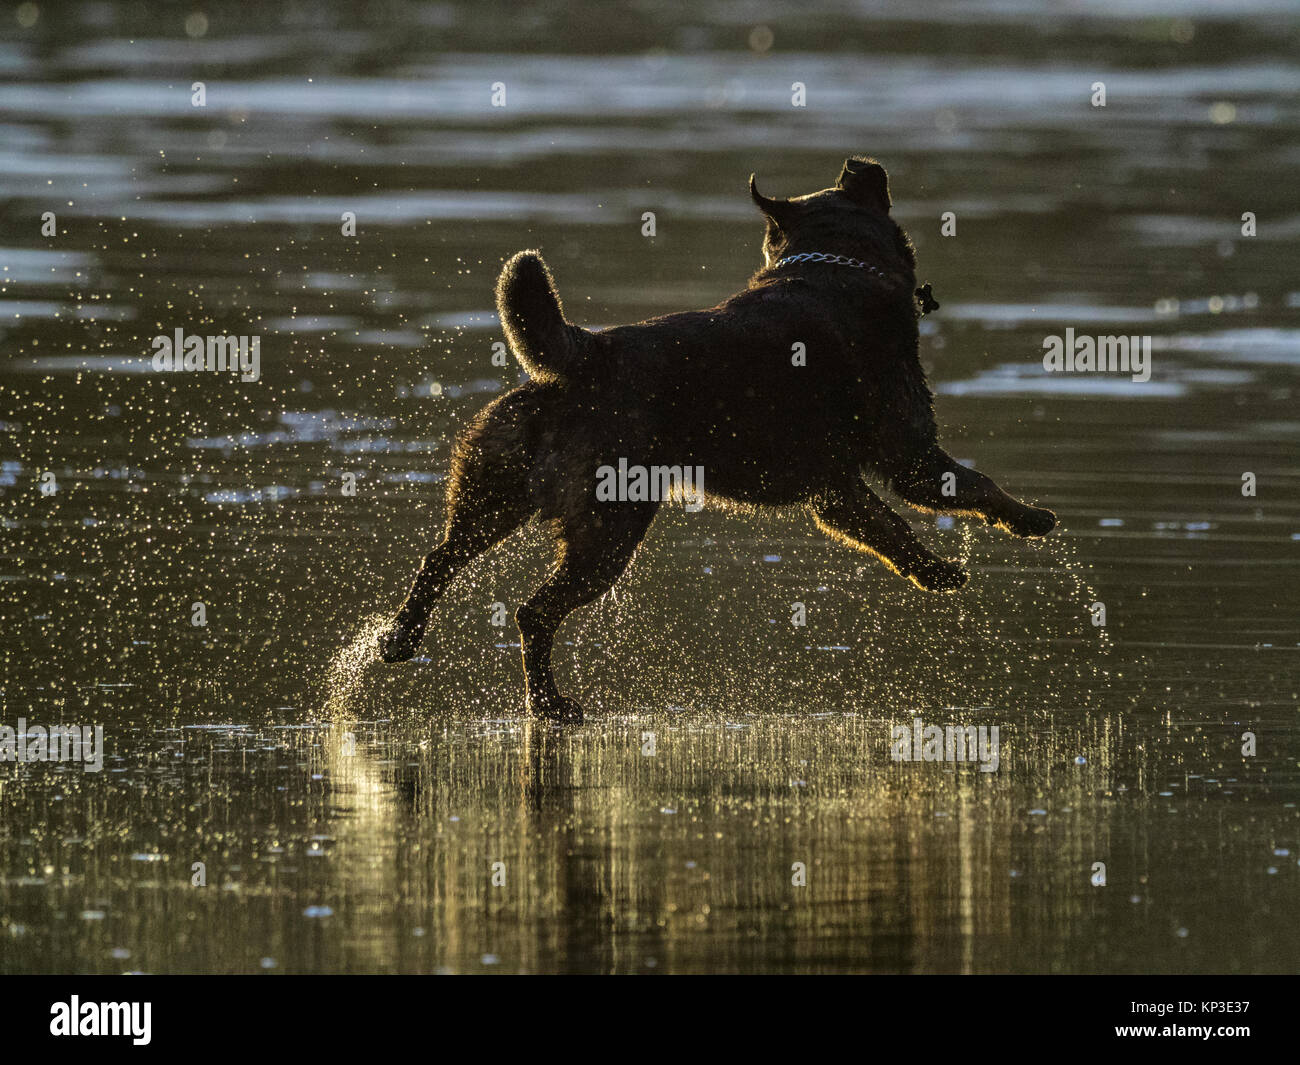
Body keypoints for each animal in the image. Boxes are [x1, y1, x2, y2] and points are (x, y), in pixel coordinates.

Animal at [379, 157, 1055, 723]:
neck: (834, 267)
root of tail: (583, 357)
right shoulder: (908, 454)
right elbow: (972, 486)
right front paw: (1028, 519)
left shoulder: (835, 490)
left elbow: (887, 530)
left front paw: (932, 571)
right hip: (608, 527)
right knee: (533, 610)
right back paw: (549, 703)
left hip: (492, 495)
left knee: (439, 558)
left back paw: (399, 639)